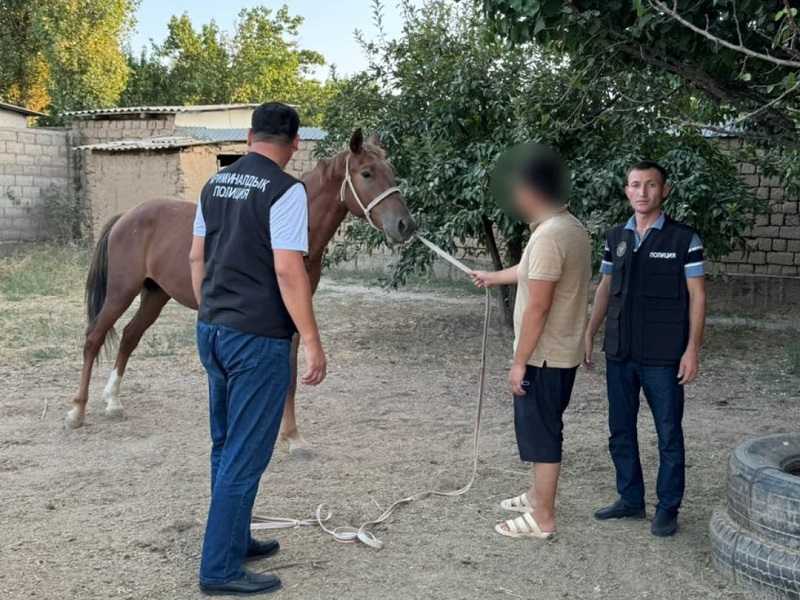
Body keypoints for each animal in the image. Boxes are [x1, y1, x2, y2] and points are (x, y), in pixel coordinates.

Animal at [65, 129, 416, 458]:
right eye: (366, 173)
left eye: (391, 170)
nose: (405, 225)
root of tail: (126, 216)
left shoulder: (292, 318)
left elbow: (289, 379)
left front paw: (292, 437)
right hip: (121, 292)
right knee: (94, 338)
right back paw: (77, 411)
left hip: (155, 295)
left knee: (129, 336)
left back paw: (113, 401)